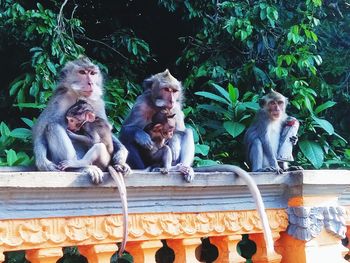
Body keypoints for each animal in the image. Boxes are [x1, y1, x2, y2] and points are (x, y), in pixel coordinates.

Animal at [31, 57, 130, 186]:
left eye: (92, 73)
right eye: (82, 72)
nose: (91, 83)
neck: (78, 95)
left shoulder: (98, 102)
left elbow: (106, 130)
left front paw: (121, 157)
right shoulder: (58, 99)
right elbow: (39, 131)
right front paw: (42, 162)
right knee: (52, 127)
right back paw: (78, 168)